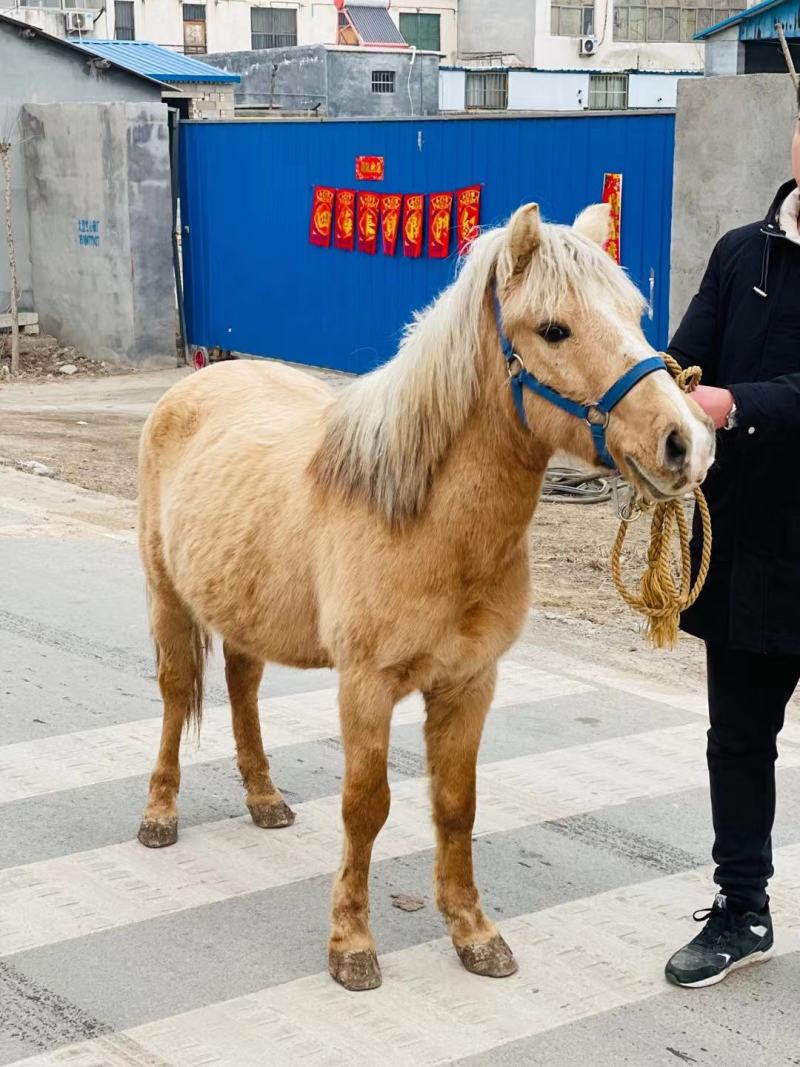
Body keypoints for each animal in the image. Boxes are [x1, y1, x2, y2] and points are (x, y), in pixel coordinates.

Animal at [136, 205, 712, 990]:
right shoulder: (366, 686)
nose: (685, 443)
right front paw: (352, 943)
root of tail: (198, 383)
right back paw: (160, 812)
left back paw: (264, 797)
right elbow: (365, 807)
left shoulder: (470, 683)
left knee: (242, 685)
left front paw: (473, 933)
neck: (426, 522)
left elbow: (456, 805)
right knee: (175, 693)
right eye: (554, 329)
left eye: (633, 315)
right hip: (166, 595)